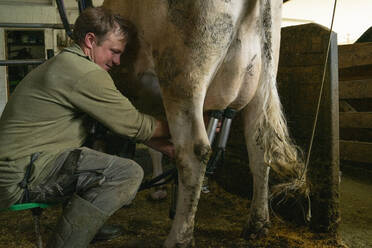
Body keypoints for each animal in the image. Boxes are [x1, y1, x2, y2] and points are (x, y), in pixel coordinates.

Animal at [102, 0, 308, 247]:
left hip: (183, 77)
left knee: (194, 153)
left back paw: (179, 238)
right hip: (262, 83)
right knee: (259, 151)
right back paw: (257, 224)